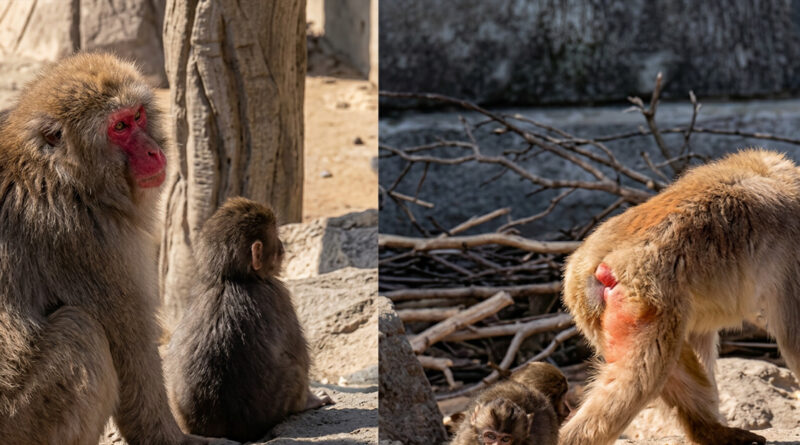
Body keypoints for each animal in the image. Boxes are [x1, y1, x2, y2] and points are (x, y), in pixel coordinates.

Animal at [0, 53, 237, 445]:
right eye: (120, 127)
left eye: (138, 116)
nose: (153, 151)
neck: (64, 179)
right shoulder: (87, 240)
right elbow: (130, 348)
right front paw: (173, 438)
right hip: (22, 421)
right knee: (81, 332)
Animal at [164, 197, 330, 443]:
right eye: (275, 237)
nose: (283, 247)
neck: (233, 278)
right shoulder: (280, 295)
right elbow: (300, 358)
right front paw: (314, 399)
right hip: (274, 408)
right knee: (295, 370)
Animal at [559, 149, 800, 445]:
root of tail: (598, 259)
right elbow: (793, 338)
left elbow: (699, 336)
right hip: (646, 300)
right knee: (641, 377)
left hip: (590, 302)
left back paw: (710, 431)